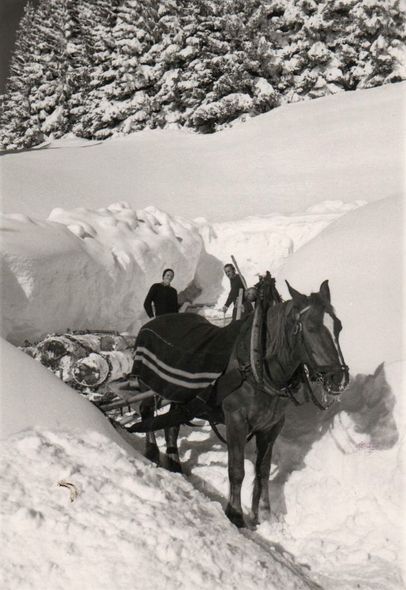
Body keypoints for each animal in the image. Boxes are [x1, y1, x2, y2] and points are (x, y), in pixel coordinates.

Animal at [130, 278, 348, 532]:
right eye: (311, 328)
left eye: (339, 327)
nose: (339, 378)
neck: (257, 366)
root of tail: (152, 322)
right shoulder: (236, 420)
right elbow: (237, 470)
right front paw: (235, 513)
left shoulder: (272, 426)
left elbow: (263, 471)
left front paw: (264, 514)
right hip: (149, 384)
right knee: (147, 412)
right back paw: (152, 451)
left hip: (177, 393)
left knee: (172, 424)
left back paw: (174, 462)